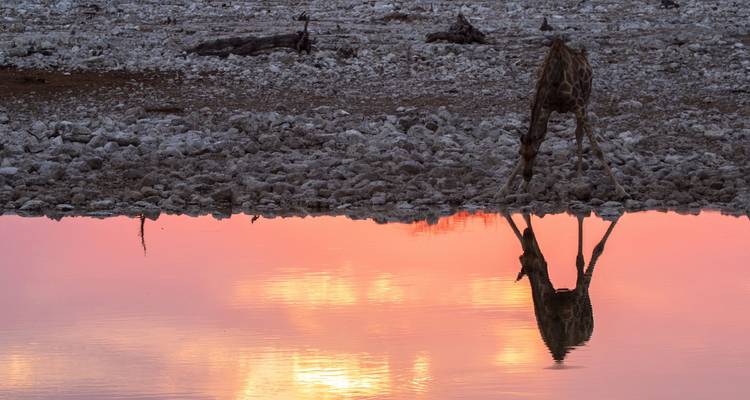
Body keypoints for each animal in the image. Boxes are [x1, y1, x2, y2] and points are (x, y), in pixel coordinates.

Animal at [499, 37, 628, 198]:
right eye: (520, 153)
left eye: (535, 153)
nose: (527, 175)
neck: (555, 75)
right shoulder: (546, 108)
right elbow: (539, 137)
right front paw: (508, 187)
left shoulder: (579, 106)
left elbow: (597, 149)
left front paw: (620, 188)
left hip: (586, 99)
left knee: (579, 134)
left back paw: (579, 178)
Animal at [504, 213, 618, 362]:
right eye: (521, 258)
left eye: (526, 258)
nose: (527, 234)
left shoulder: (579, 296)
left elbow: (581, 259)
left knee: (594, 252)